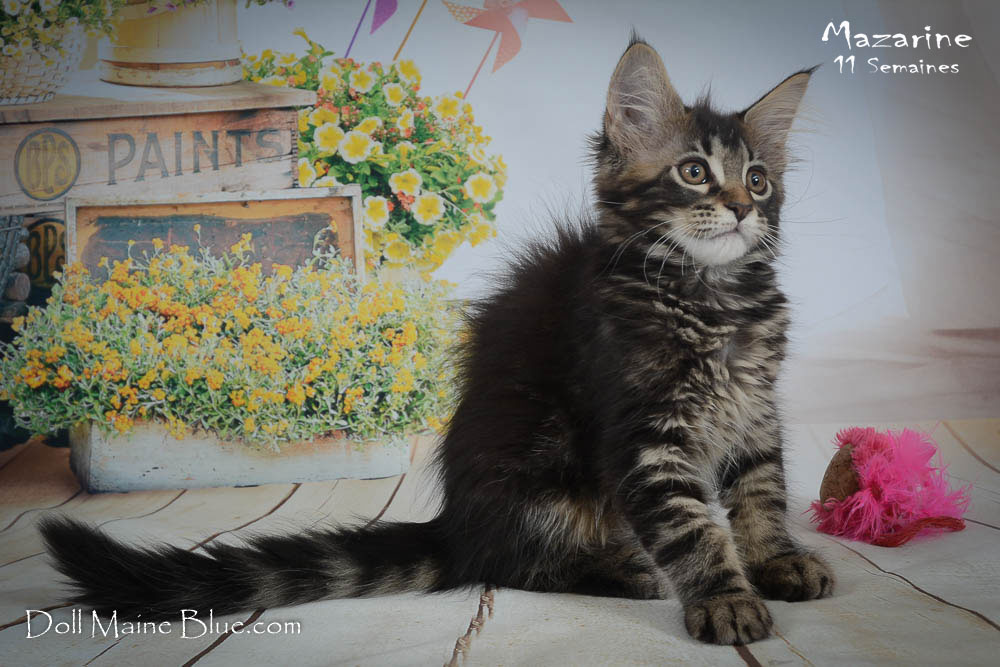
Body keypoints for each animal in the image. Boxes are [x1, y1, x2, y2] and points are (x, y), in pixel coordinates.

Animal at [40, 36, 833, 646]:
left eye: (759, 181)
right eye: (694, 172)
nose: (741, 210)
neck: (714, 299)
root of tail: (454, 525)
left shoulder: (754, 410)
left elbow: (761, 492)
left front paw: (779, 563)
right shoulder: (644, 431)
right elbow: (693, 525)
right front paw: (726, 600)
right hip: (545, 484)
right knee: (512, 565)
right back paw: (621, 569)